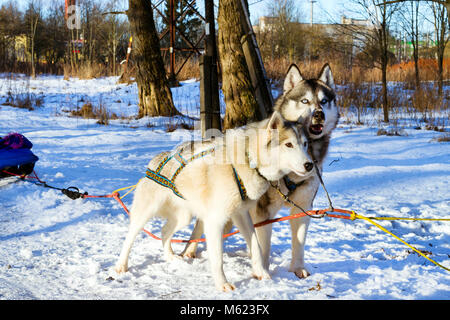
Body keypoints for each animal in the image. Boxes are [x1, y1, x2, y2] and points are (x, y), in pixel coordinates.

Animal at [114, 111, 314, 292]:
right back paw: (121, 266)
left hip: (183, 217)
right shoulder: (215, 221)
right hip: (146, 213)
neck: (247, 160)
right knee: (130, 237)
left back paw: (170, 257)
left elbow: (256, 247)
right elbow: (217, 258)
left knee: (164, 232)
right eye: (289, 144)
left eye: (305, 144)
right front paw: (222, 284)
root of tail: (156, 160)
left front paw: (261, 273)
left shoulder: (241, 215)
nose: (309, 165)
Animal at [183, 63, 338, 278]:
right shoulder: (263, 212)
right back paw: (189, 251)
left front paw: (297, 269)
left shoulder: (303, 207)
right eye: (305, 100)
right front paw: (263, 271)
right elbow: (263, 246)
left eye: (324, 101)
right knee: (200, 226)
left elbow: (298, 243)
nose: (319, 114)